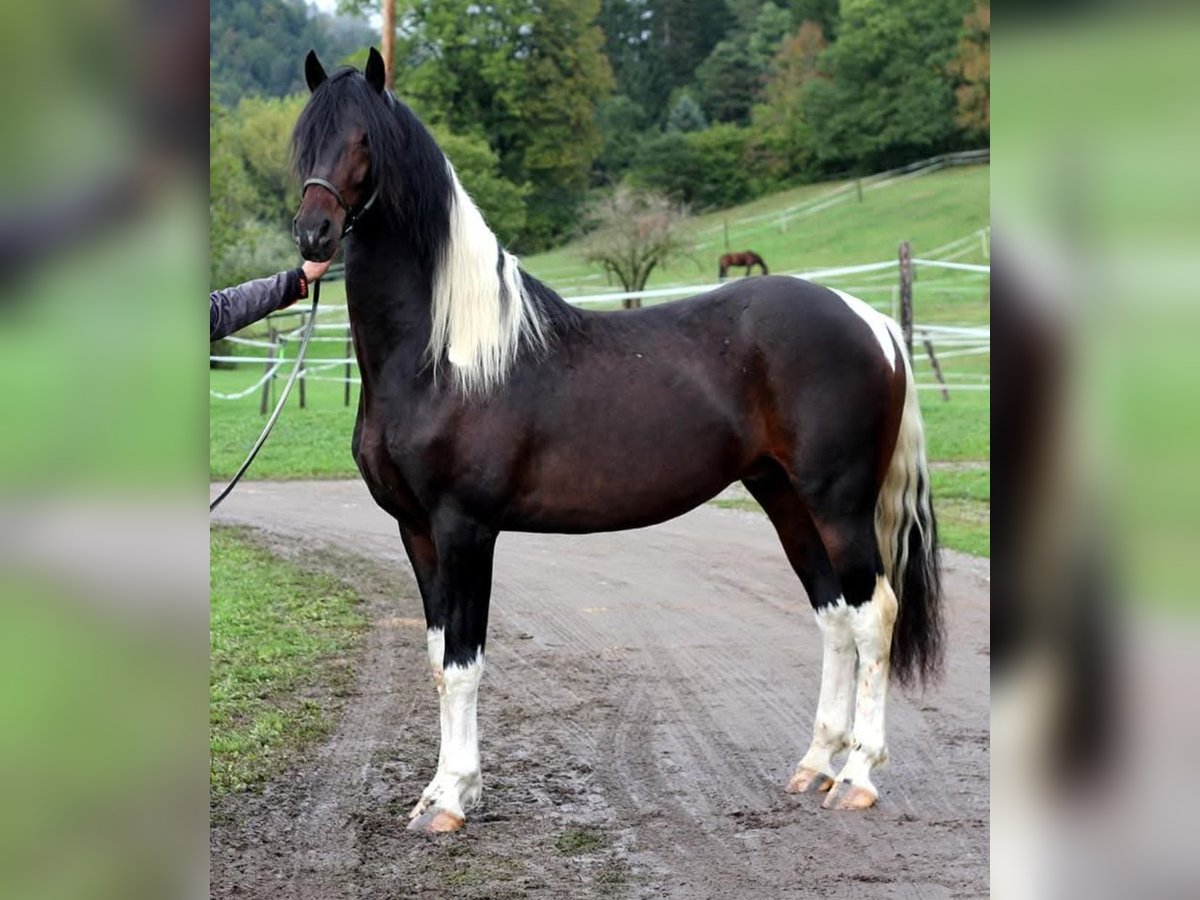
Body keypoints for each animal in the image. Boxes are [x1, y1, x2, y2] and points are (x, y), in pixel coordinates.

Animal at [291, 49, 943, 834]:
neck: (447, 353)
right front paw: (439, 791)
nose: (313, 234)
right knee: (836, 618)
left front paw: (451, 799)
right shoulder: (416, 531)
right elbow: (438, 659)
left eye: (364, 141)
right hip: (787, 500)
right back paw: (816, 764)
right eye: (304, 137)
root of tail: (872, 321)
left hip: (838, 503)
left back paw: (857, 778)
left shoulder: (464, 528)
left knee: (874, 615)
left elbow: (464, 663)